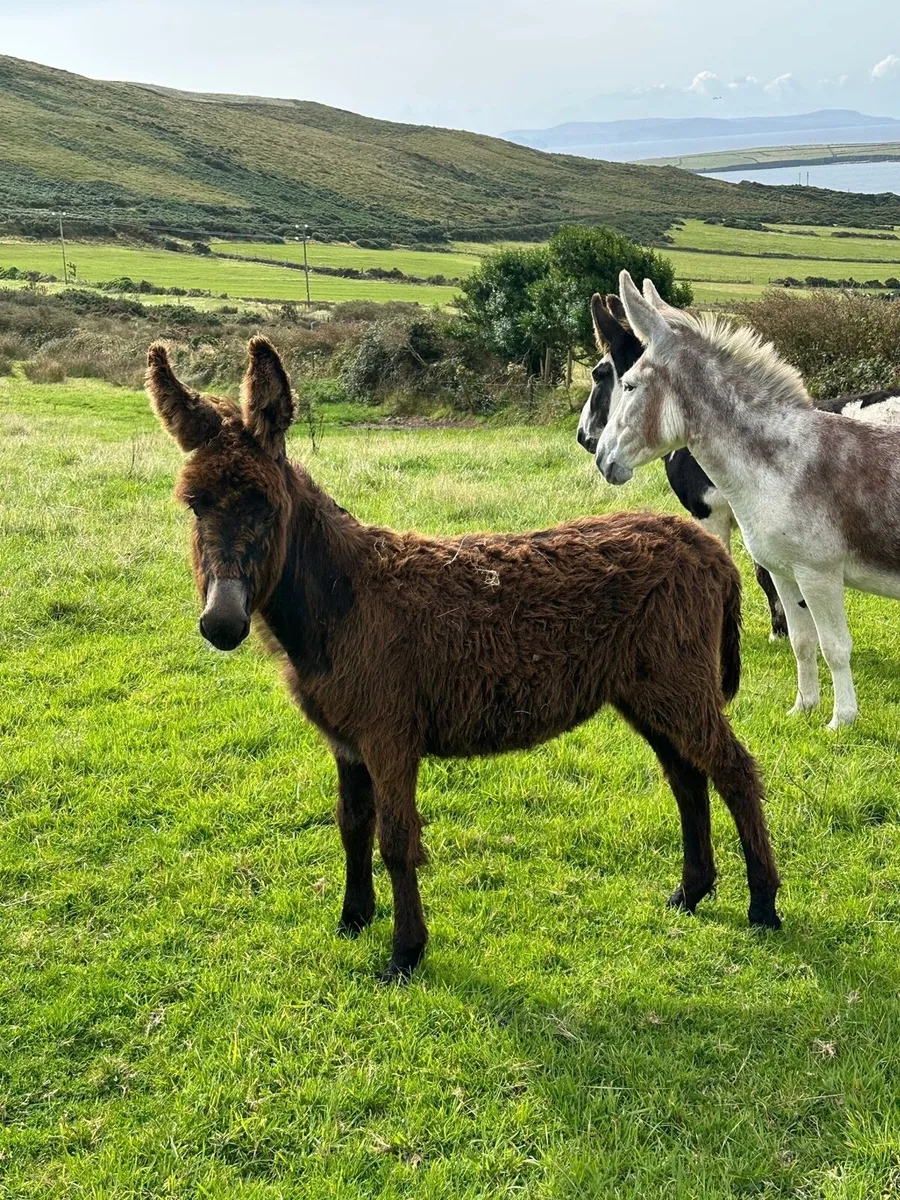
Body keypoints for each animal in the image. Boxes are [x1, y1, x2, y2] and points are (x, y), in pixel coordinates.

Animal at [147, 336, 782, 981]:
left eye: (265, 506)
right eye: (194, 506)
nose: (221, 623)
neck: (343, 600)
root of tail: (708, 550)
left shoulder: (389, 733)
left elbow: (395, 838)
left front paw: (405, 951)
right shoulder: (346, 740)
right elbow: (352, 825)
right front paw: (353, 919)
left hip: (679, 683)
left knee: (734, 771)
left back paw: (763, 904)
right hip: (646, 690)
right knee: (687, 776)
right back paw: (692, 891)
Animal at [594, 270, 900, 729]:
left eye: (625, 384)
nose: (599, 457)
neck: (783, 462)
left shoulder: (820, 574)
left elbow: (835, 646)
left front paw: (841, 720)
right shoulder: (785, 572)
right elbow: (802, 641)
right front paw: (803, 708)